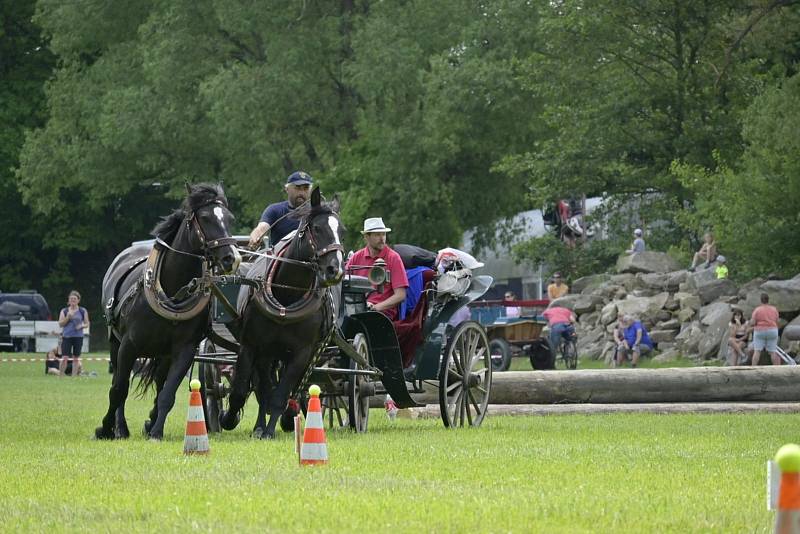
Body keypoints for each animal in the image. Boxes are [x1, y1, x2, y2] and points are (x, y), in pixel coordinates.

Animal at [97, 184, 241, 444]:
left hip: (163, 354)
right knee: (118, 383)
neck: (173, 291)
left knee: (159, 382)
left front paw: (155, 431)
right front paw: (105, 428)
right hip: (116, 342)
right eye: (206, 217)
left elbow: (168, 393)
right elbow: (119, 389)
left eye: (230, 219)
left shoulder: (184, 350)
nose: (231, 258)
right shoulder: (128, 346)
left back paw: (150, 421)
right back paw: (120, 428)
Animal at [220, 188, 342, 440]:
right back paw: (258, 425)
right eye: (317, 228)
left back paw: (286, 416)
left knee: (292, 390)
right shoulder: (253, 346)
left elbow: (281, 394)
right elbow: (245, 390)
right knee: (261, 387)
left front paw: (271, 428)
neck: (287, 295)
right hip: (268, 354)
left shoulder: (302, 353)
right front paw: (230, 419)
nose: (335, 269)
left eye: (341, 231)